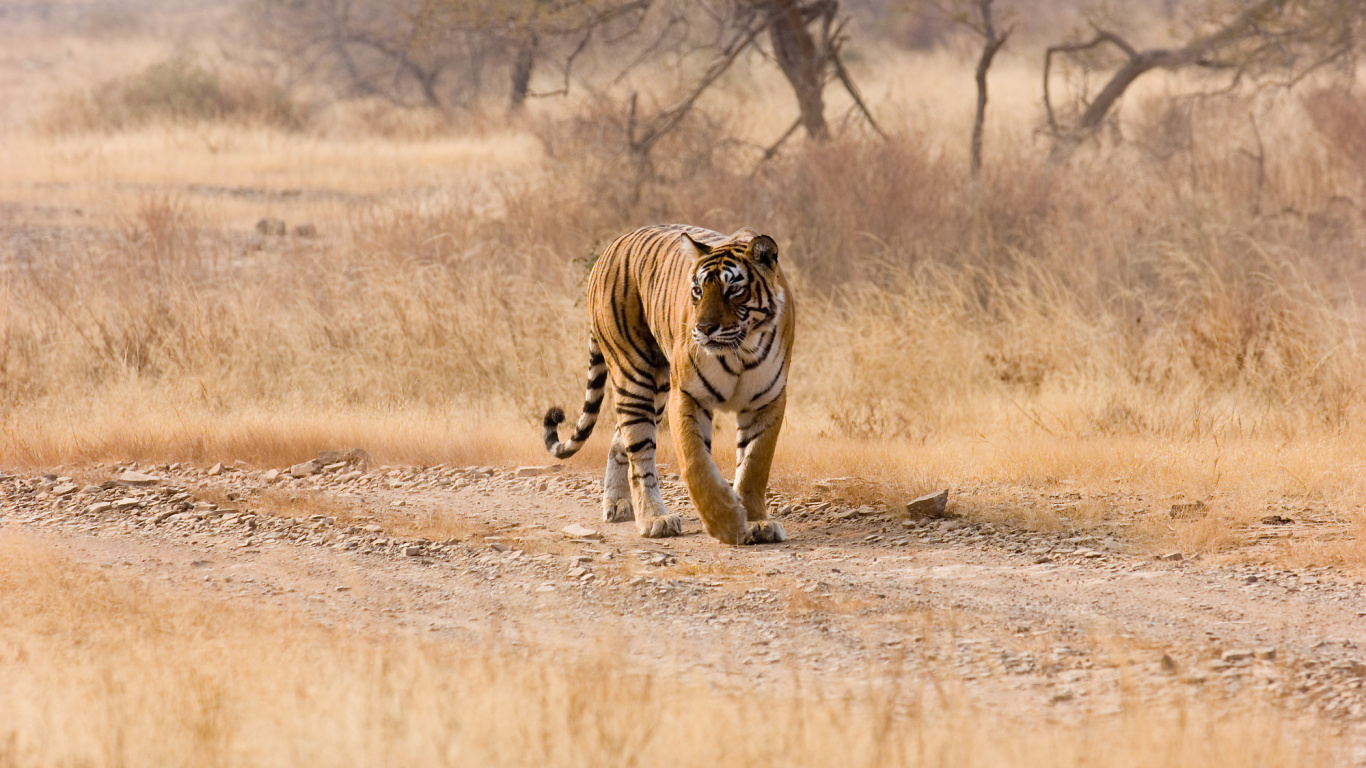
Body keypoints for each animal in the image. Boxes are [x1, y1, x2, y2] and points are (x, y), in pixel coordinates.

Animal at [542, 224, 794, 545]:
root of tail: (611, 246)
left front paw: (757, 522)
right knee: (639, 454)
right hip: (634, 375)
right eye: (697, 291)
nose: (703, 328)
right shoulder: (687, 395)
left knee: (618, 439)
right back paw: (653, 518)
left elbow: (754, 465)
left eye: (733, 290)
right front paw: (725, 521)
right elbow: (696, 462)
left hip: (658, 390)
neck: (741, 352)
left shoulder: (767, 401)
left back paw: (618, 504)